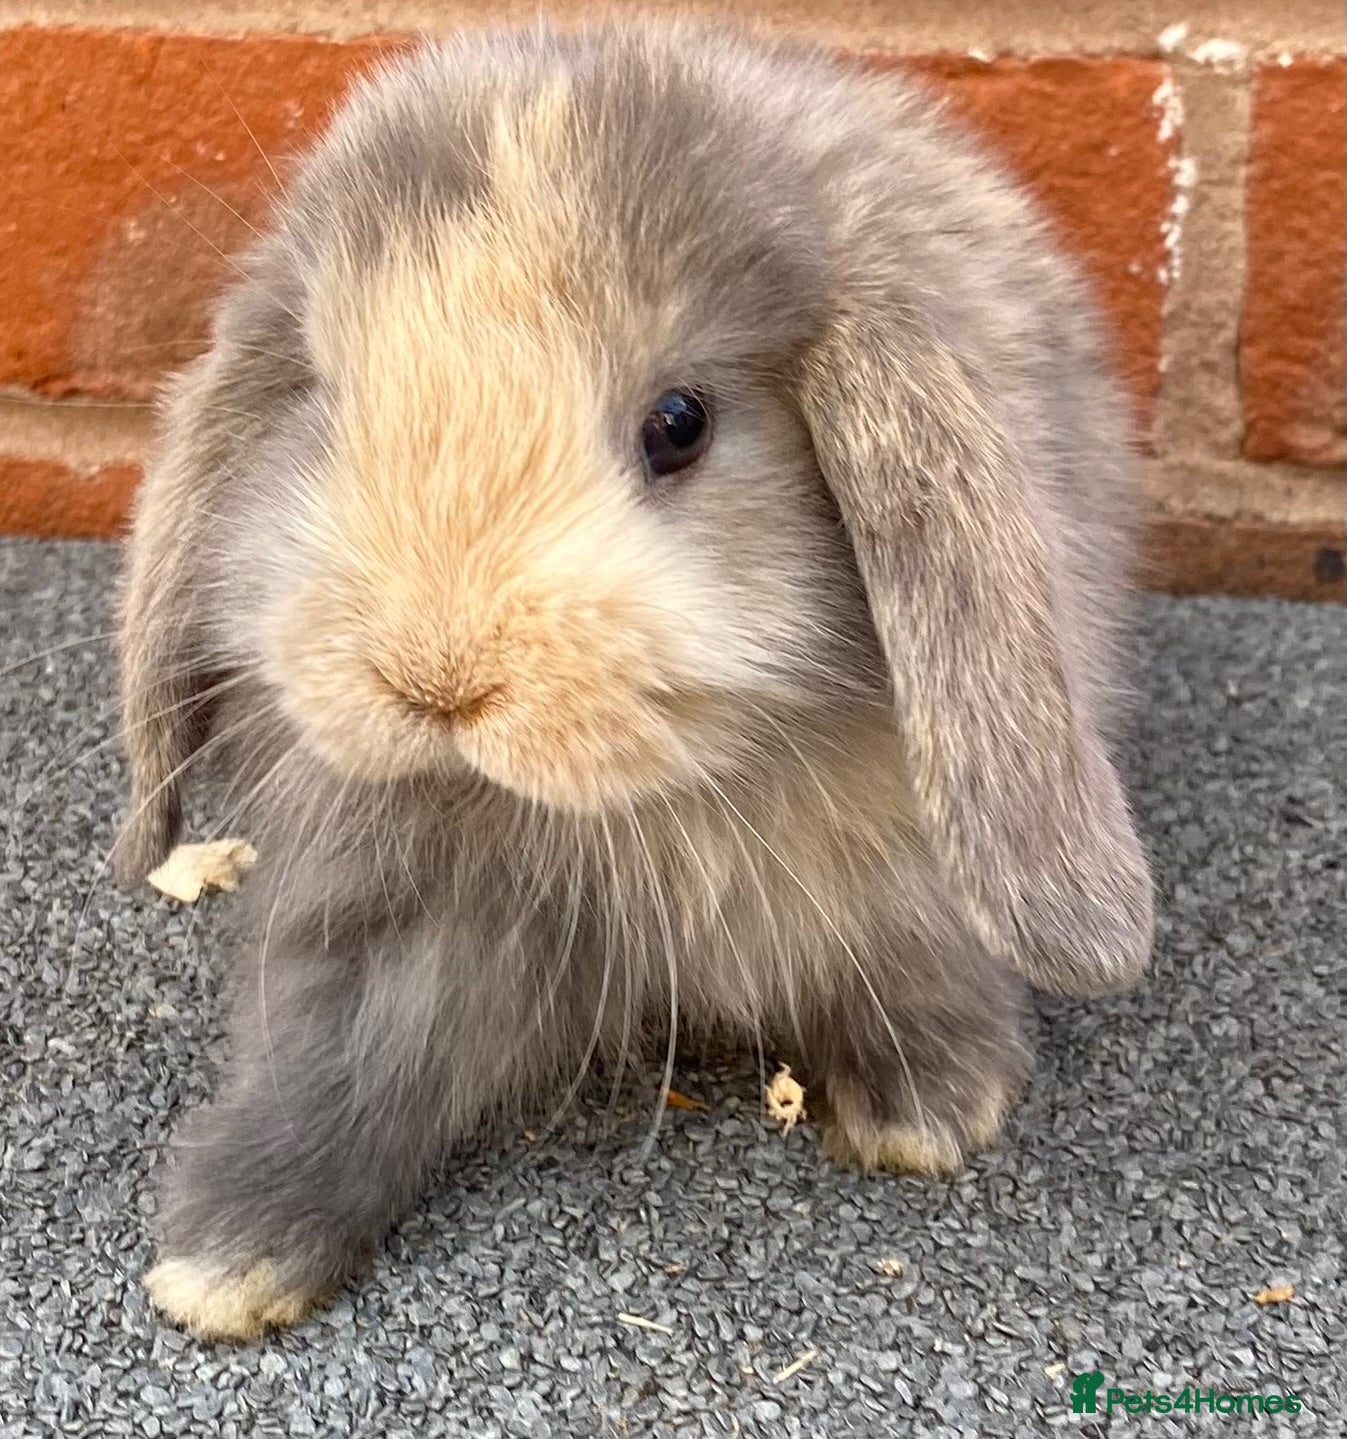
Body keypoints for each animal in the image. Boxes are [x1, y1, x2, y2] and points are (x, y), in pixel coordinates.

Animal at [114, 19, 1154, 1341]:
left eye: (679, 422)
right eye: (329, 402)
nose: (437, 680)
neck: (650, 803)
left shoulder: (915, 875)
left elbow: (919, 959)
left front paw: (932, 1105)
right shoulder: (381, 908)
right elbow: (338, 1053)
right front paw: (229, 1258)